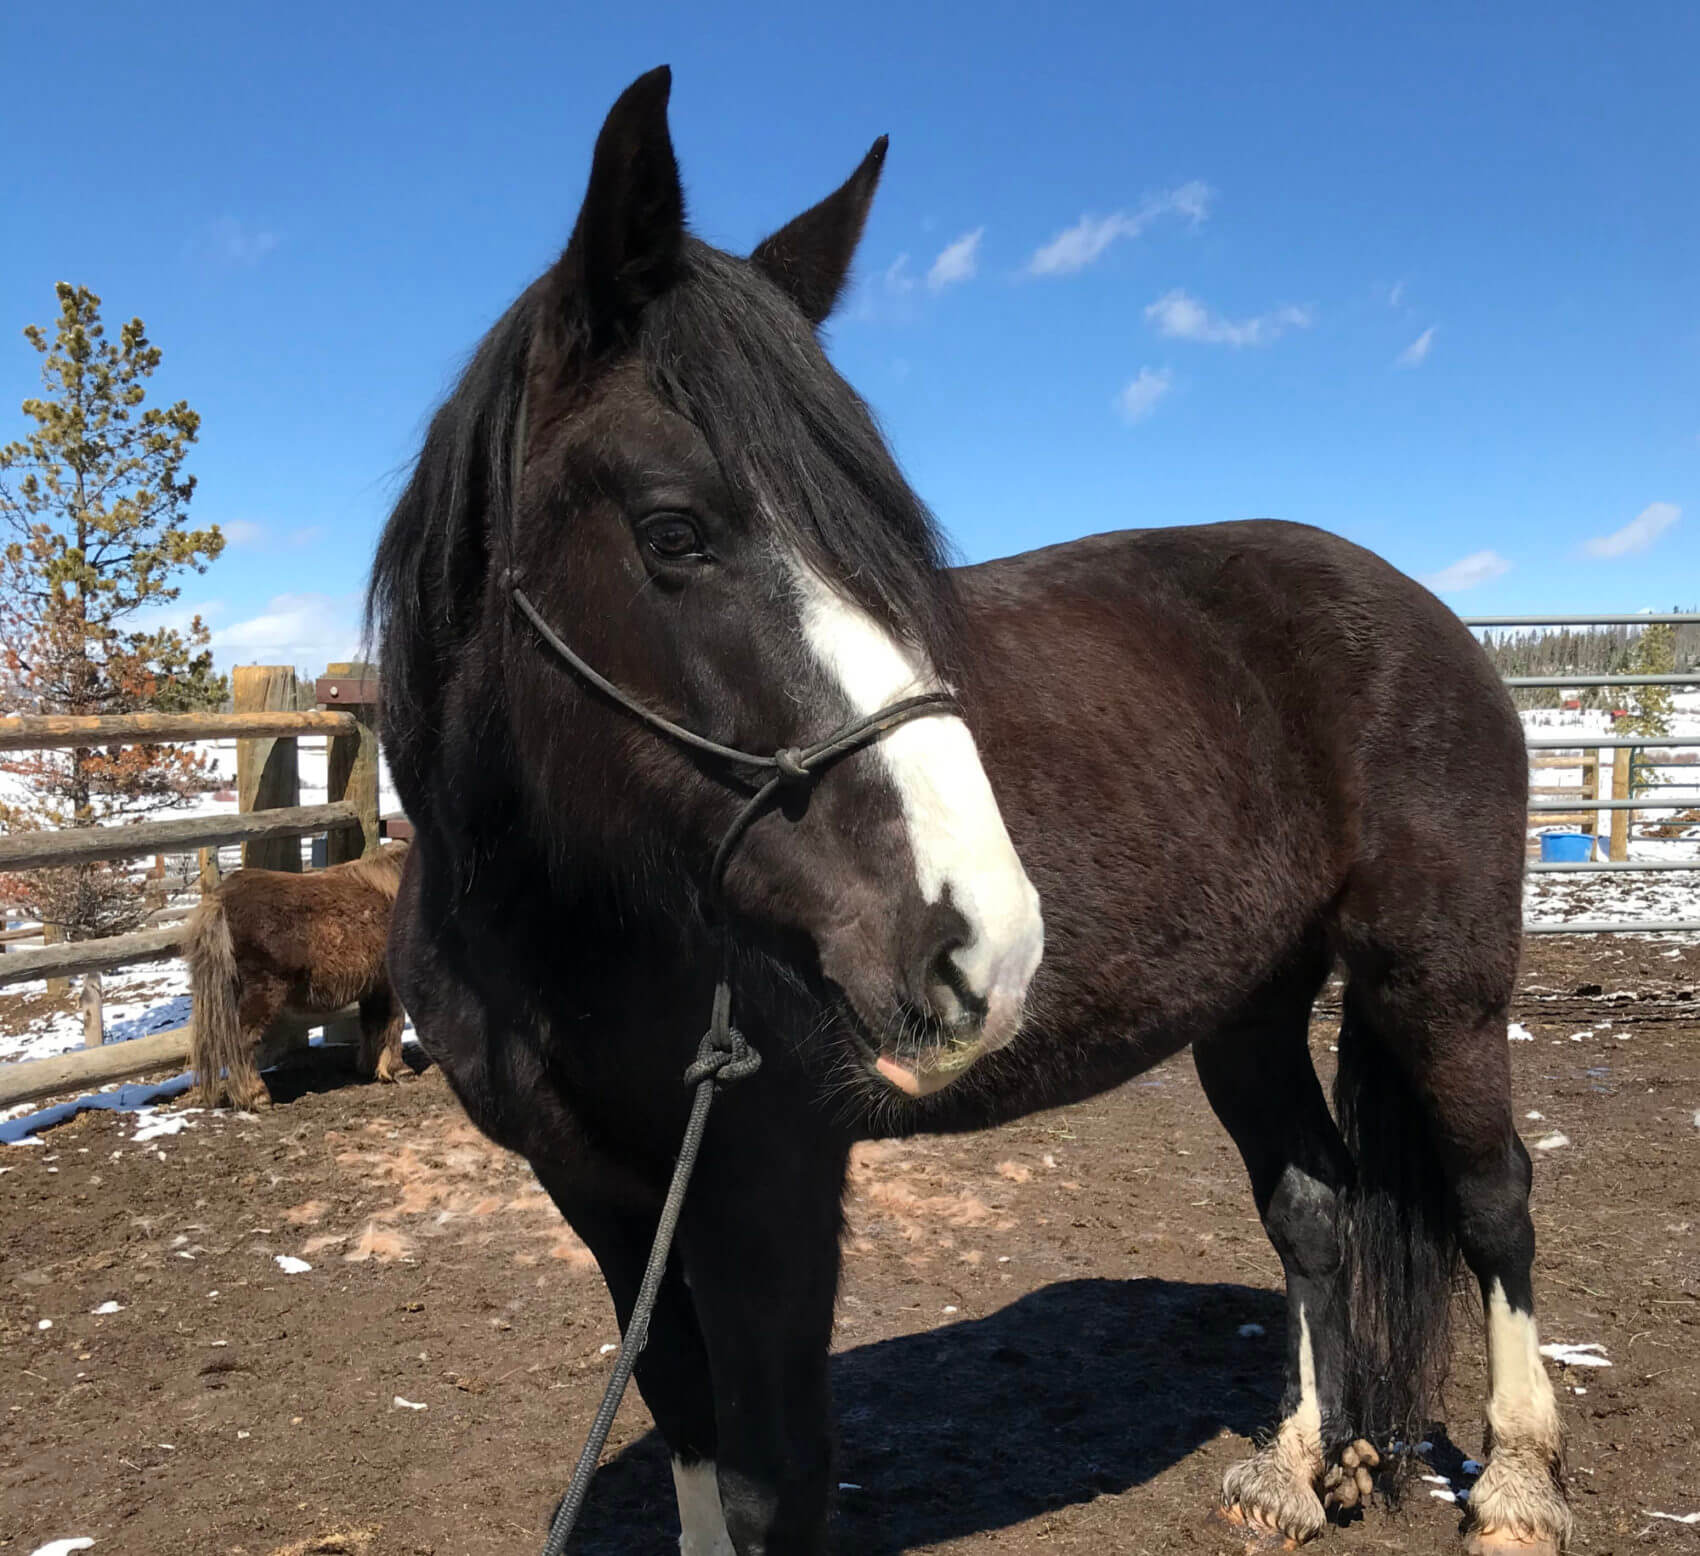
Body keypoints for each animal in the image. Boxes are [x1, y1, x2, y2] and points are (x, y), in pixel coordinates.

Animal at [189, 840, 411, 1108]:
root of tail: (220, 900)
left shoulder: (375, 986)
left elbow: (372, 1023)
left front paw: (371, 1067)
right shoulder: (390, 985)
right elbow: (394, 1022)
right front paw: (397, 1069)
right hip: (261, 993)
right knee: (242, 1040)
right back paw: (256, 1095)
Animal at [372, 70, 1564, 1556]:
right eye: (673, 532)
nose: (981, 942)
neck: (553, 925)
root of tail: (1433, 617)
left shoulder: (766, 1192)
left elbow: (776, 1478)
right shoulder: (601, 1197)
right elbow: (687, 1418)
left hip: (1436, 981)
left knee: (1493, 1196)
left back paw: (1517, 1482)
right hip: (1246, 1010)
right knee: (1313, 1207)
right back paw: (1303, 1463)